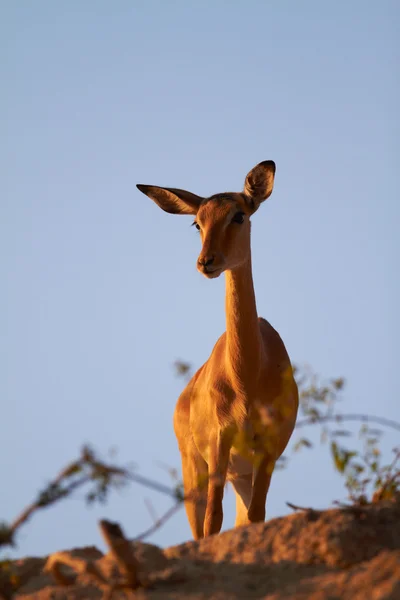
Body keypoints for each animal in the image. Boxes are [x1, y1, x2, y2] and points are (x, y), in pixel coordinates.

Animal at [137, 161, 296, 540]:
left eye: (239, 215)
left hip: (241, 473)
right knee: (203, 524)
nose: (206, 262)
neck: (248, 378)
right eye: (198, 222)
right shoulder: (220, 443)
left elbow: (256, 516)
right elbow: (213, 520)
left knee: (245, 517)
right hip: (196, 468)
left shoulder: (267, 452)